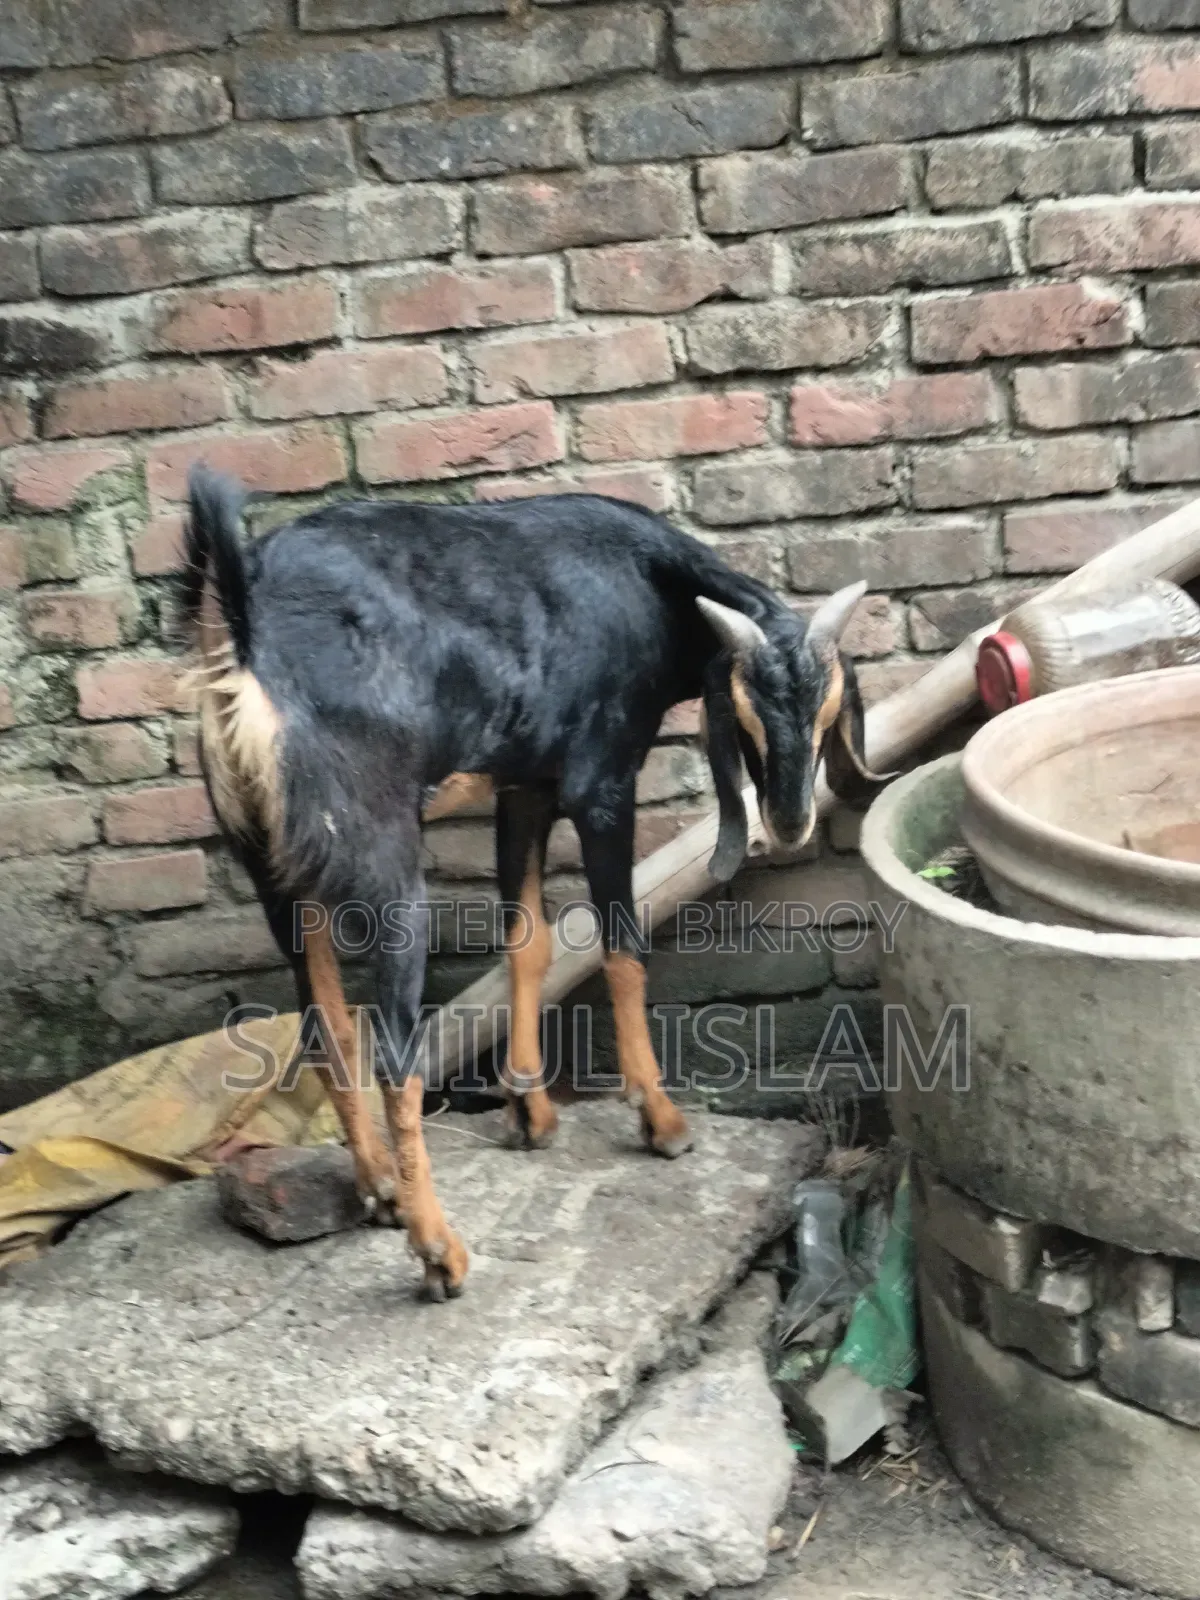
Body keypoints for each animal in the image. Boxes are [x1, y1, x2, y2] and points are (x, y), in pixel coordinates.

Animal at [182, 467, 879, 1300]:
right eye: (742, 712)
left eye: (829, 708)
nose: (791, 819)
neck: (649, 580)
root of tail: (246, 627)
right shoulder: (599, 782)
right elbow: (621, 945)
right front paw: (661, 1119)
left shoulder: (525, 784)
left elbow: (529, 942)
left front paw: (529, 1110)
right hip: (383, 859)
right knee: (395, 1055)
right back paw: (440, 1252)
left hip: (273, 864)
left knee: (328, 1028)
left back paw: (381, 1189)